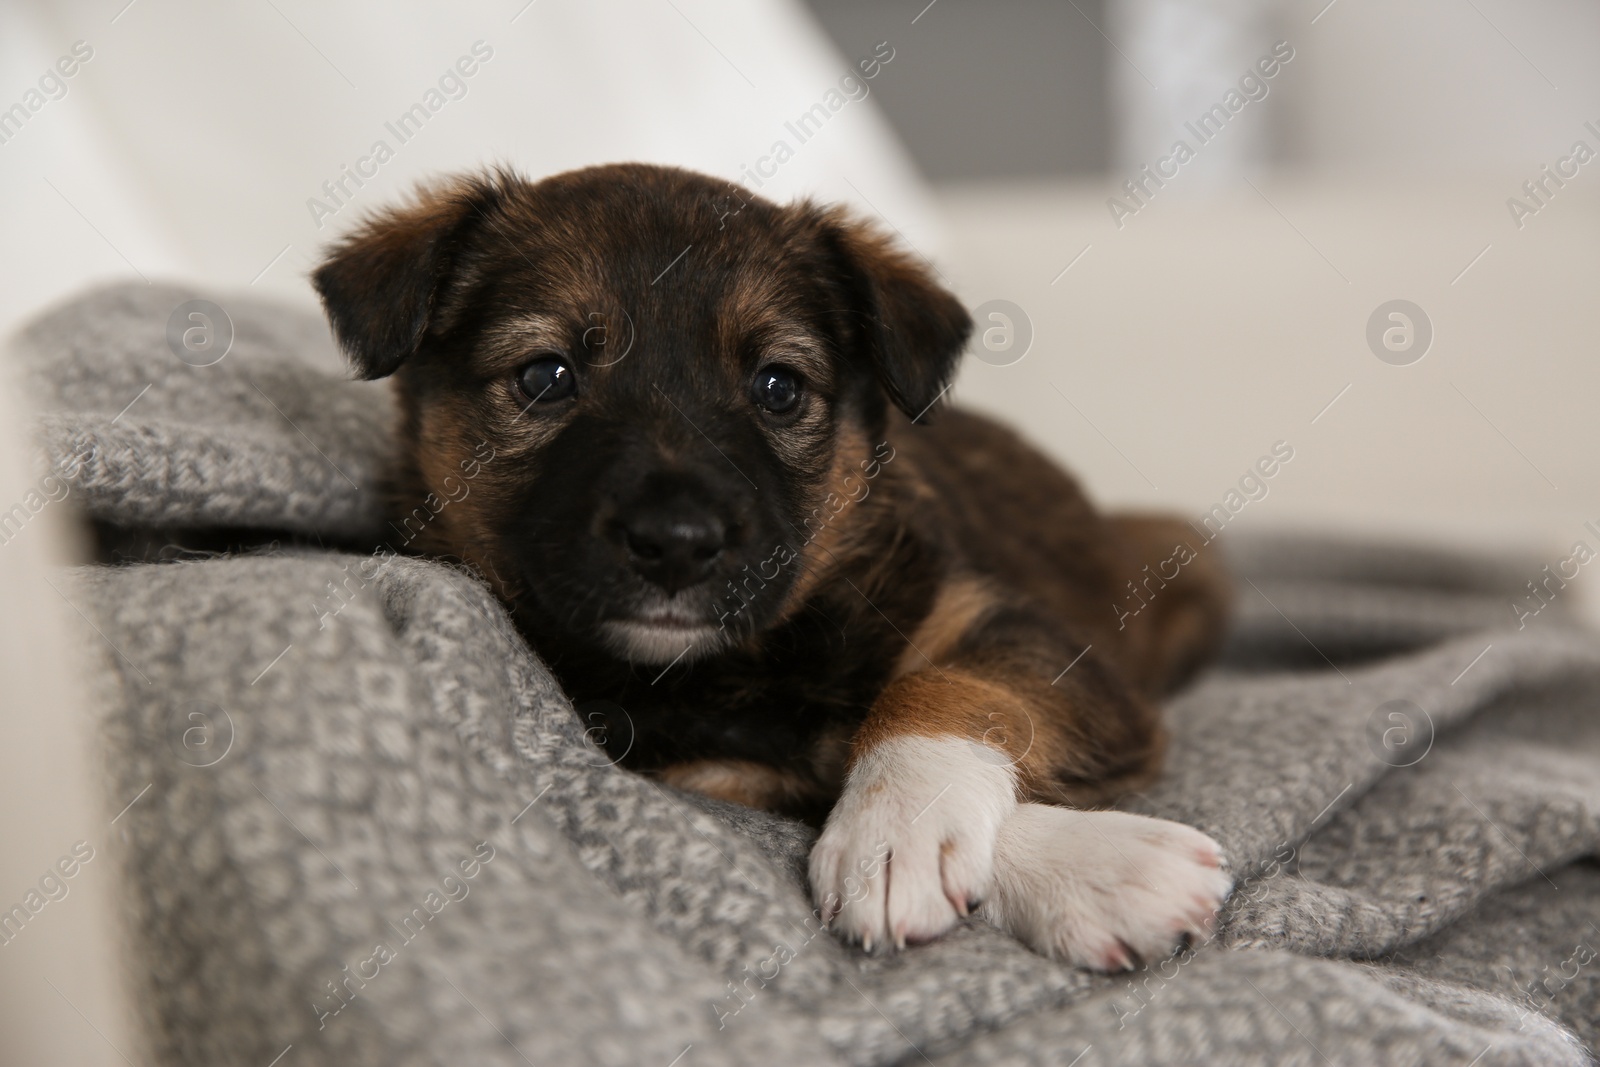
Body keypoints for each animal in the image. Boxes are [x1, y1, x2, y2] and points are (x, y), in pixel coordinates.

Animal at [315, 163, 1235, 972]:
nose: (677, 541)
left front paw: (898, 829)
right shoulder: (714, 773)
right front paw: (1094, 867)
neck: (757, 658)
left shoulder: (1021, 632)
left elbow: (945, 687)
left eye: (778, 386)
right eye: (546, 377)